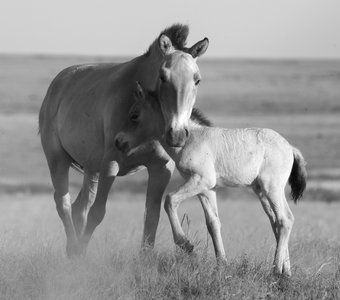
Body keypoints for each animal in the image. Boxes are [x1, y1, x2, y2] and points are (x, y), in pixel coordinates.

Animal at [38, 24, 209, 256]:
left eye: (197, 80)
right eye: (163, 77)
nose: (177, 134)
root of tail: (57, 84)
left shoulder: (161, 168)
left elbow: (152, 216)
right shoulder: (111, 163)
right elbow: (98, 212)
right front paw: (82, 255)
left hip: (92, 169)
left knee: (79, 206)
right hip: (58, 159)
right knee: (63, 203)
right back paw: (74, 249)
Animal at [115, 82, 308, 276]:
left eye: (134, 115)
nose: (118, 141)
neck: (188, 139)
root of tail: (290, 147)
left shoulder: (202, 180)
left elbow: (169, 200)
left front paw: (186, 244)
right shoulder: (206, 189)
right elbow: (213, 222)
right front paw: (221, 263)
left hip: (272, 188)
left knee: (285, 219)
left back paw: (276, 270)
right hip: (261, 191)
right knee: (276, 222)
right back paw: (286, 272)